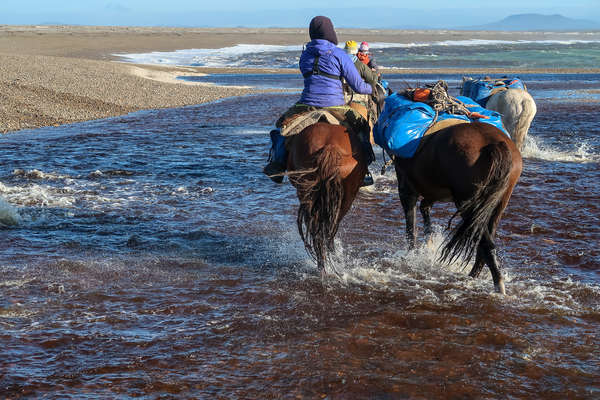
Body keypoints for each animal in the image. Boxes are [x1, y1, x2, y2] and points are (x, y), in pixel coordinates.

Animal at [284, 122, 368, 276]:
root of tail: (330, 147)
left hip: (307, 192)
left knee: (318, 229)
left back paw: (322, 266)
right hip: (346, 198)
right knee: (329, 228)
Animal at [394, 122, 520, 294]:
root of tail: (495, 144)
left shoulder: (406, 188)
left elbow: (411, 228)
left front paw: (412, 256)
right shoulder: (432, 192)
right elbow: (424, 209)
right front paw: (429, 243)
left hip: (468, 204)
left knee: (485, 244)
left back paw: (498, 284)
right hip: (498, 204)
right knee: (485, 244)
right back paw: (476, 277)